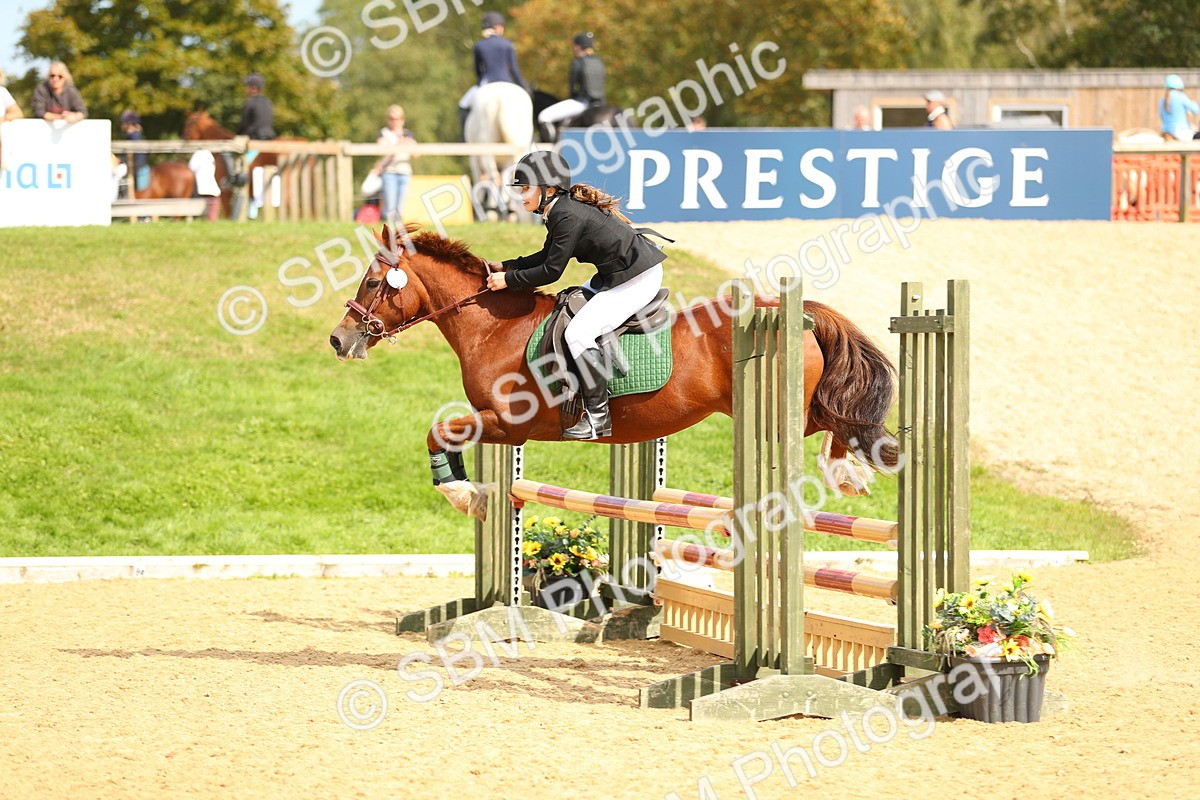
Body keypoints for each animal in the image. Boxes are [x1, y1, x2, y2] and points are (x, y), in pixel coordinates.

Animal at [328, 225, 897, 519]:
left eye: (373, 282)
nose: (339, 339)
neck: (495, 329)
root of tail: (792, 313)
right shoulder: (497, 424)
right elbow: (444, 434)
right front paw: (472, 492)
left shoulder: (508, 423)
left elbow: (438, 431)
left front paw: (463, 495)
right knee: (837, 420)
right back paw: (851, 472)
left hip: (775, 410)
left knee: (832, 423)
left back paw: (846, 472)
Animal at [464, 82, 534, 221]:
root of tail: (502, 98)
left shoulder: (474, 159)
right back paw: (508, 213)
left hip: (487, 152)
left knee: (493, 177)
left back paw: (493, 213)